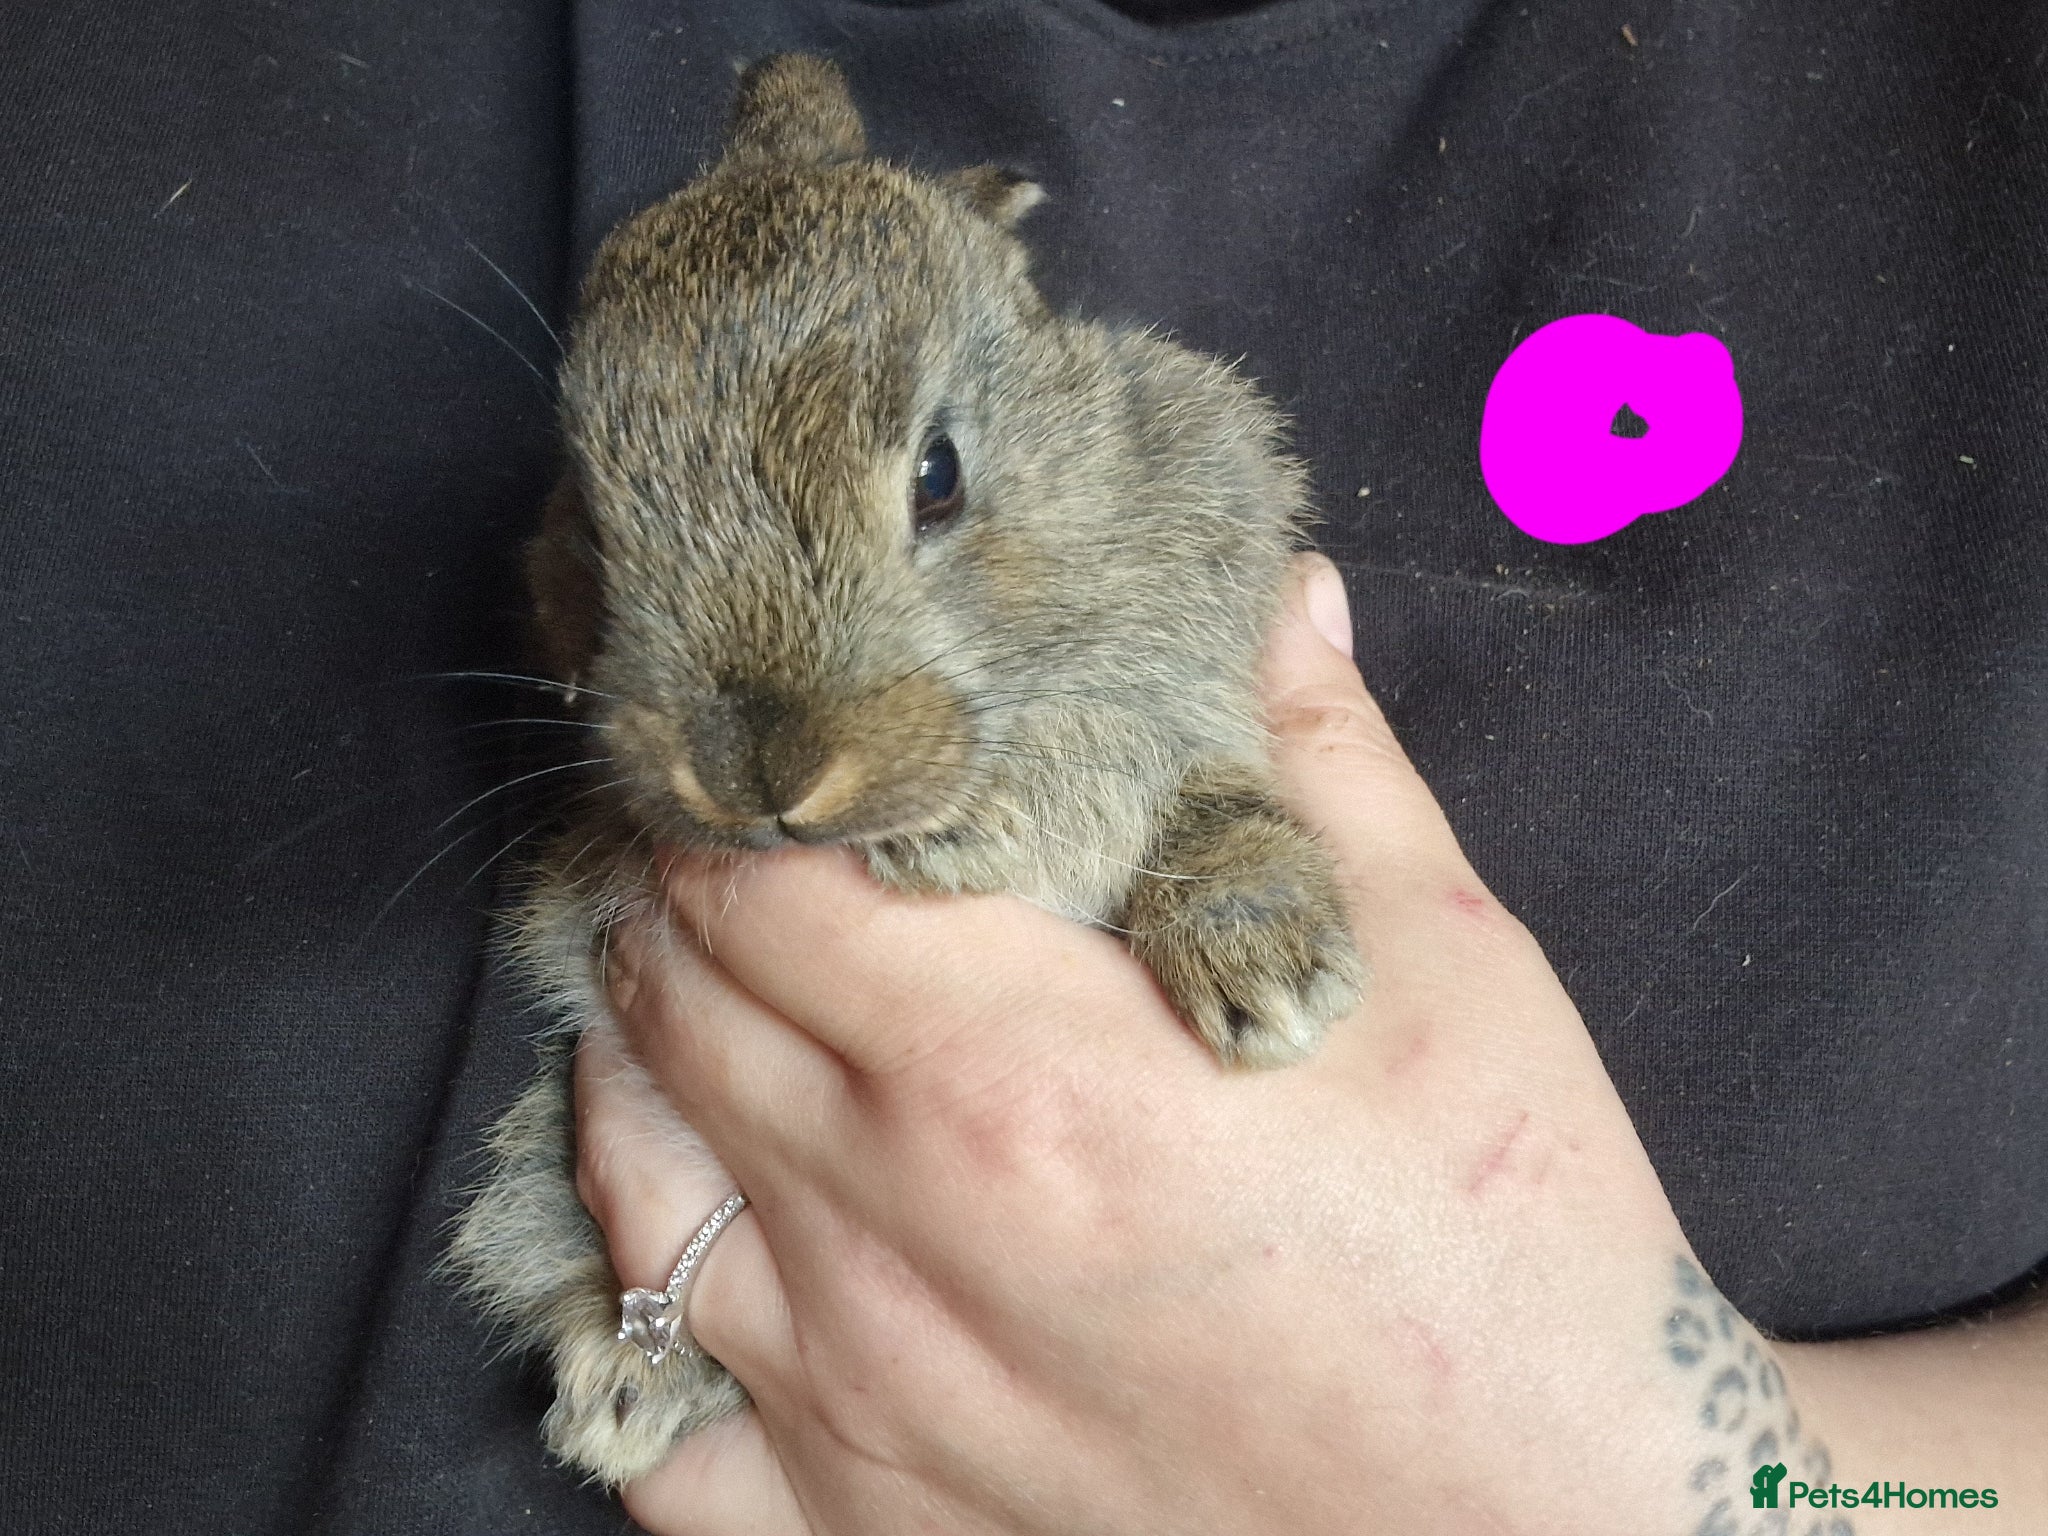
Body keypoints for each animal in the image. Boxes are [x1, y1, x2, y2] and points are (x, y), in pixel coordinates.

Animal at [447, 52, 1367, 1489]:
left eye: (937, 474)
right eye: (588, 523)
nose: (758, 773)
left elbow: (1147, 766)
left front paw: (982, 836)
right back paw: (627, 1389)